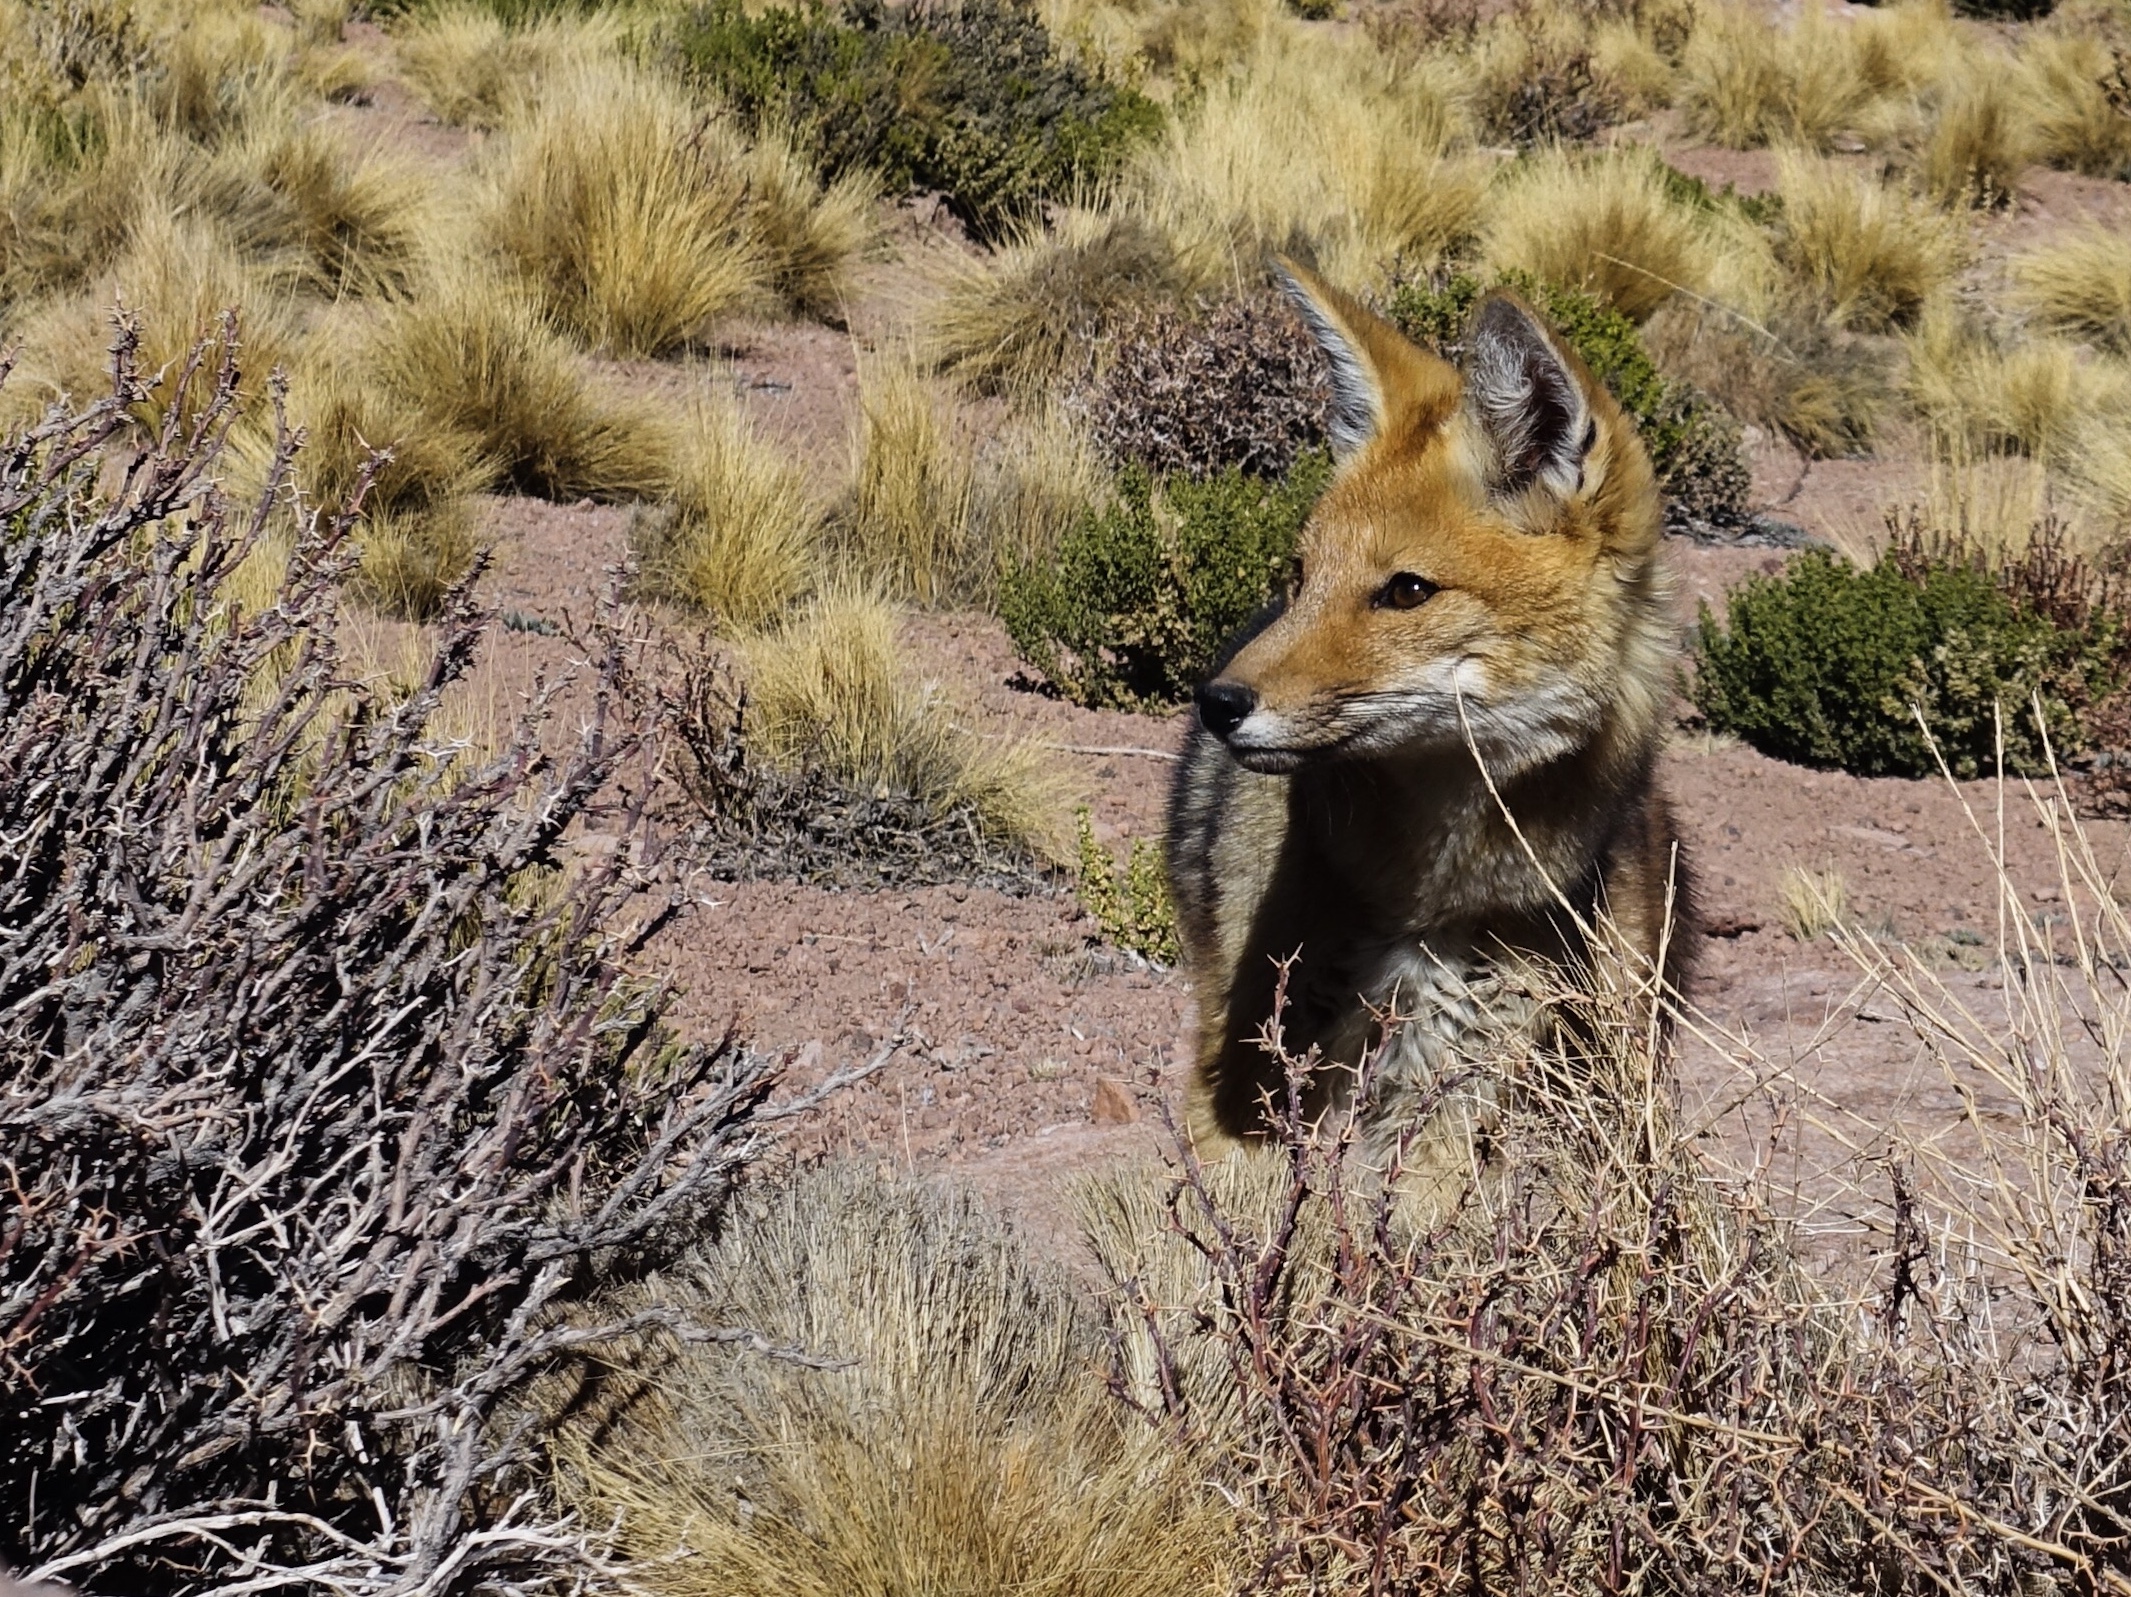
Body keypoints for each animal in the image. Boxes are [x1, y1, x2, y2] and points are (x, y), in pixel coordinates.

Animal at [1165, 263, 1693, 1161]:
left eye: (1406, 590)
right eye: (1299, 576)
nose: (1217, 702)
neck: (1426, 902)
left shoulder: (1459, 1082)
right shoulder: (1247, 1082)